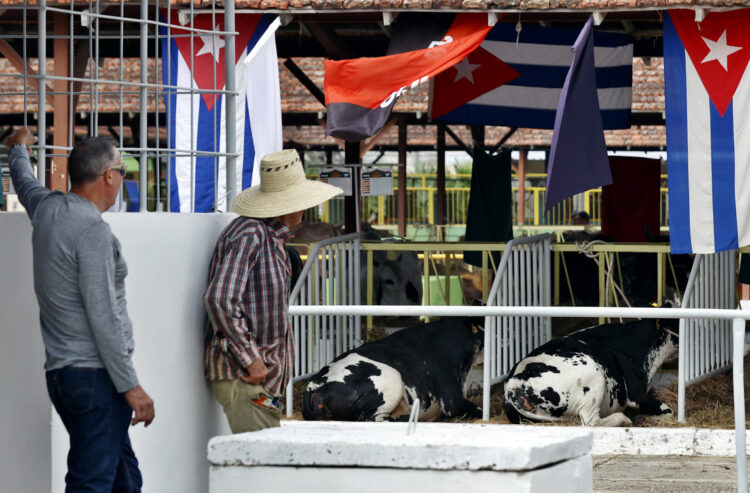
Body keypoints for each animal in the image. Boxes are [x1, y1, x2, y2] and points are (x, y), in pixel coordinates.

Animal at [506, 318, 680, 424]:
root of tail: (513, 384)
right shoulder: (637, 395)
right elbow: (669, 411)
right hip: (594, 377)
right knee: (593, 422)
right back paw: (623, 419)